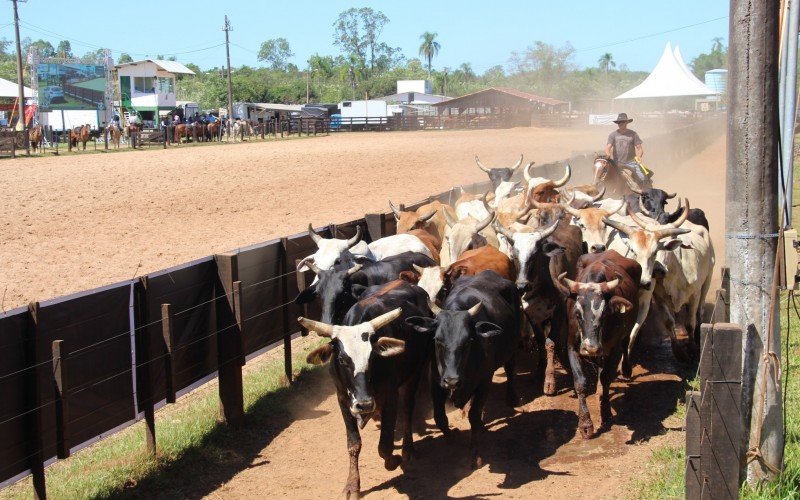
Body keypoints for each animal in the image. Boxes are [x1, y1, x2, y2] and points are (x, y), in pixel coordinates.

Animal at [300, 280, 434, 498]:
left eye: (373, 357)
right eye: (341, 359)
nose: (364, 404)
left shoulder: (390, 396)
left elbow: (385, 445)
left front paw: (393, 461)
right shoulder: (343, 399)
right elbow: (353, 444)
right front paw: (352, 485)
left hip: (415, 372)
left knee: (408, 409)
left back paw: (407, 450)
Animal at [406, 270, 520, 468]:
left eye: (468, 341)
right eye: (437, 340)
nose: (452, 380)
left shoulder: (485, 380)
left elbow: (474, 415)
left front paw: (475, 452)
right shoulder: (435, 382)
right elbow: (439, 417)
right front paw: (451, 437)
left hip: (513, 346)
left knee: (510, 368)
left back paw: (511, 397)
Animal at [556, 250, 644, 438]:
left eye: (605, 313)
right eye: (577, 313)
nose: (591, 348)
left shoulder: (614, 349)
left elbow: (606, 379)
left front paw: (606, 411)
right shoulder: (572, 347)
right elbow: (580, 382)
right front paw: (585, 424)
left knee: (626, 342)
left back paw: (626, 369)